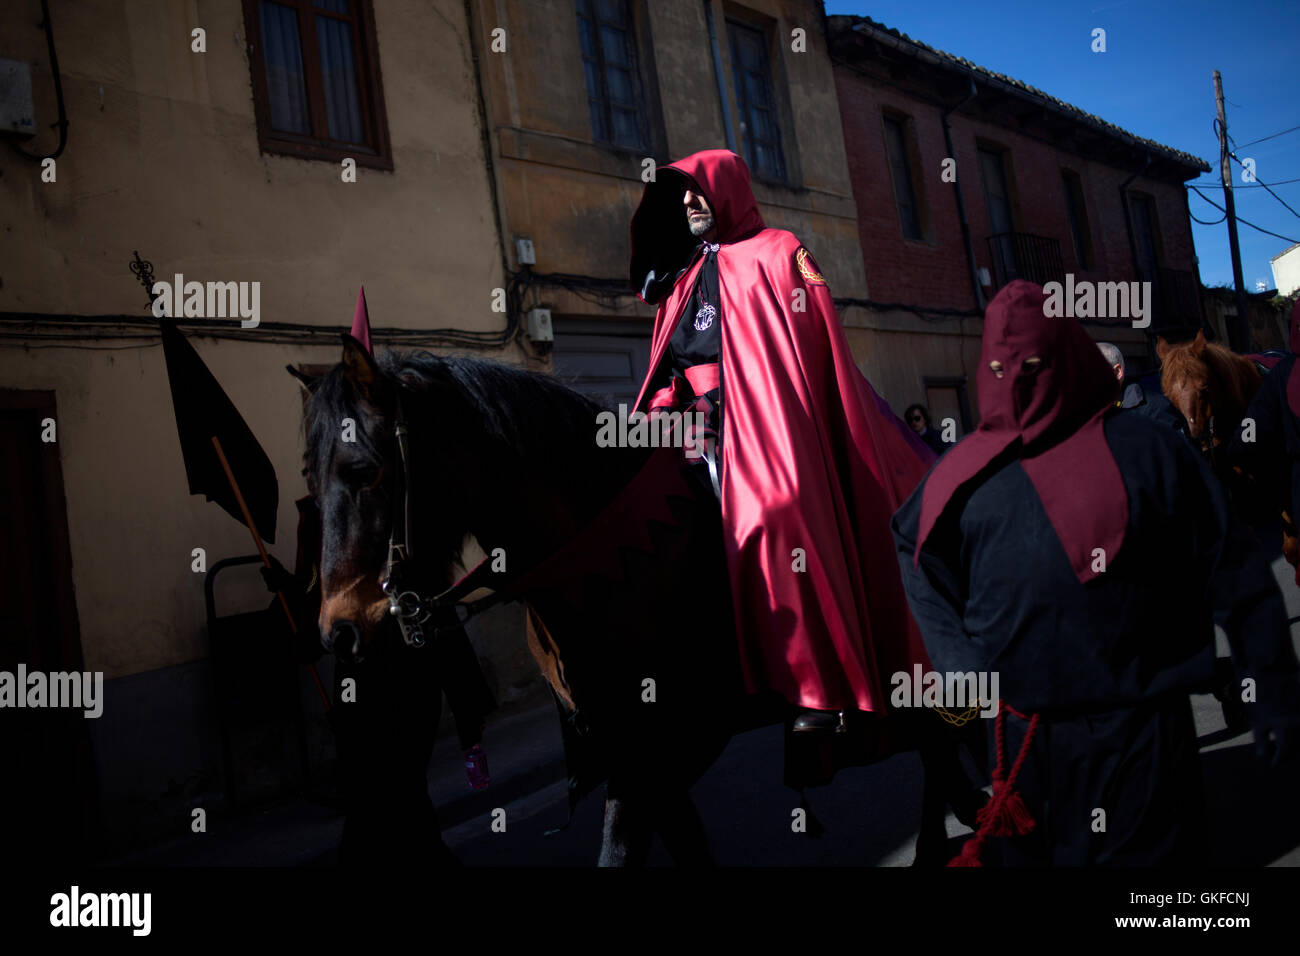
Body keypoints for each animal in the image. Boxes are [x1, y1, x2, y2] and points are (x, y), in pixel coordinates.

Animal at [297, 335, 982, 868]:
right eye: (310, 476)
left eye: (364, 470)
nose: (339, 631)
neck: (606, 556)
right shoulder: (637, 754)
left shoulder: (658, 753)